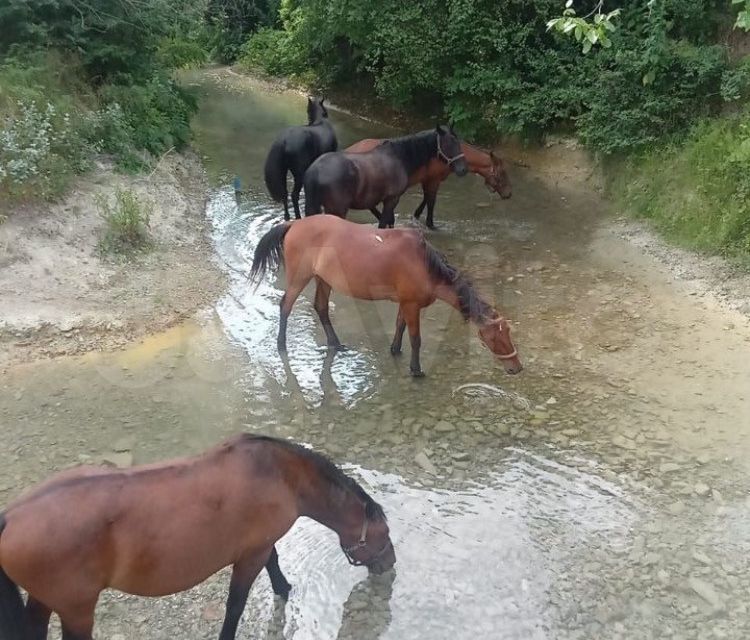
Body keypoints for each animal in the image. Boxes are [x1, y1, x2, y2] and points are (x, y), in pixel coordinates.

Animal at [0, 436, 396, 640]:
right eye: (384, 534)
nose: (391, 564)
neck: (280, 476)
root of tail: (11, 517)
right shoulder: (250, 555)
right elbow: (236, 604)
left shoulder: (260, 544)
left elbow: (274, 562)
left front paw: (284, 588)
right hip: (77, 611)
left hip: (45, 599)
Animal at [253, 215, 524, 376]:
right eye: (495, 338)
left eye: (509, 333)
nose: (517, 367)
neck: (423, 264)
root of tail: (293, 224)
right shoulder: (412, 305)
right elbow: (415, 338)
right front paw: (416, 370)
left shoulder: (404, 303)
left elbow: (399, 326)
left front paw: (395, 350)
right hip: (300, 277)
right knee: (285, 305)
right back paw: (281, 344)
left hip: (324, 280)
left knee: (320, 307)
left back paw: (336, 343)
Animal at [302, 125, 468, 228]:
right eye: (450, 143)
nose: (463, 169)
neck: (399, 158)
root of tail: (315, 170)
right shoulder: (391, 199)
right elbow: (383, 224)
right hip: (336, 210)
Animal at [348, 139, 516, 229]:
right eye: (502, 173)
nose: (509, 193)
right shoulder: (434, 179)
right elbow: (431, 201)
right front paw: (430, 224)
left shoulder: (428, 179)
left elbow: (425, 199)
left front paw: (416, 216)